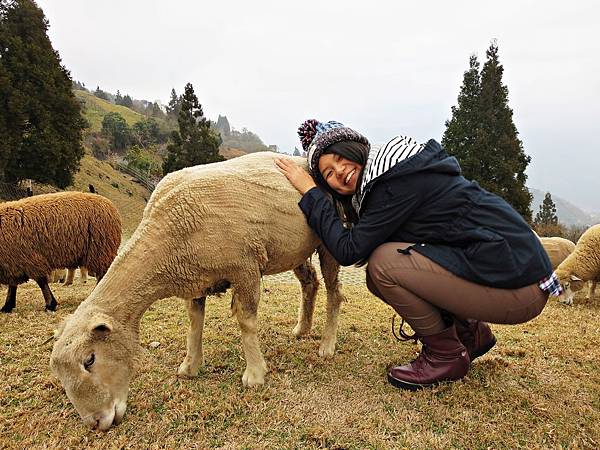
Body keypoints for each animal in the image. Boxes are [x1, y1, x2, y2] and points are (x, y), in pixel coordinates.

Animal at [50, 153, 346, 430]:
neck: (167, 238)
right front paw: (190, 366)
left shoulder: (245, 267)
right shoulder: (195, 278)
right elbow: (194, 323)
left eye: (89, 359)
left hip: (329, 240)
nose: (96, 423)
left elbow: (246, 322)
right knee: (310, 283)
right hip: (295, 250)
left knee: (334, 291)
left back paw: (327, 345)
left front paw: (254, 375)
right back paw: (302, 328)